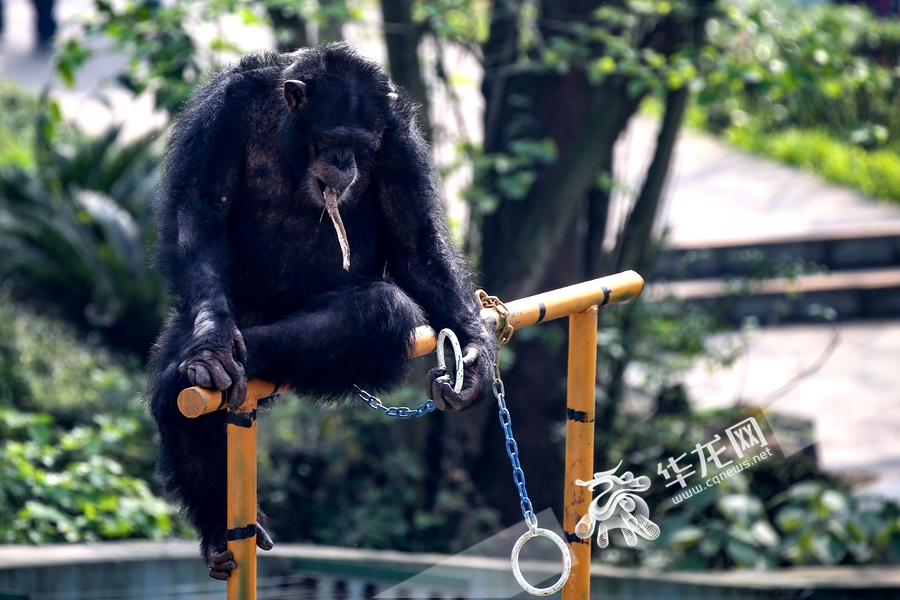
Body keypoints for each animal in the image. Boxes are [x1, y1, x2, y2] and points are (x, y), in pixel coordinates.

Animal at [148, 44, 500, 580]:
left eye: (359, 143)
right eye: (334, 139)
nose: (342, 159)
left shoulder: (399, 143)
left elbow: (415, 245)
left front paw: (476, 356)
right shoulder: (222, 113)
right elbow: (202, 211)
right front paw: (210, 343)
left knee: (380, 309)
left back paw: (246, 359)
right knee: (185, 402)